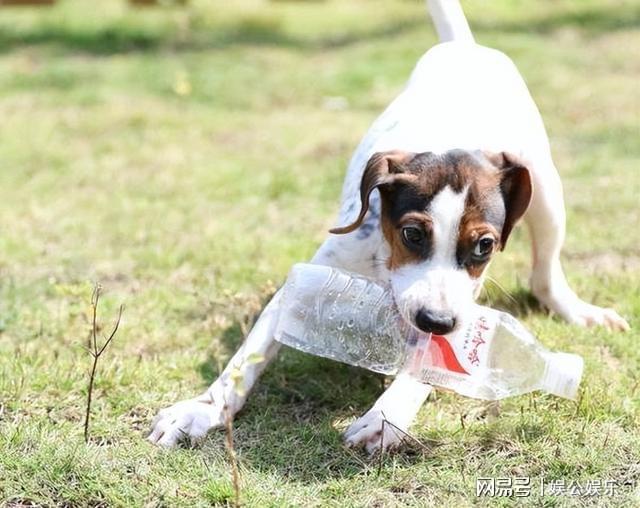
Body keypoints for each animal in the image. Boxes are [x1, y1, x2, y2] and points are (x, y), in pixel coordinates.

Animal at [146, 0, 632, 452]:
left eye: (484, 246)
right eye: (412, 234)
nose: (436, 319)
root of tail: (465, 47)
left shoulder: (459, 305)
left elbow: (430, 361)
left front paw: (386, 415)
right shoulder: (303, 285)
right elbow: (248, 357)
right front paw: (201, 409)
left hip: (545, 191)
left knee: (545, 271)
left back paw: (577, 309)